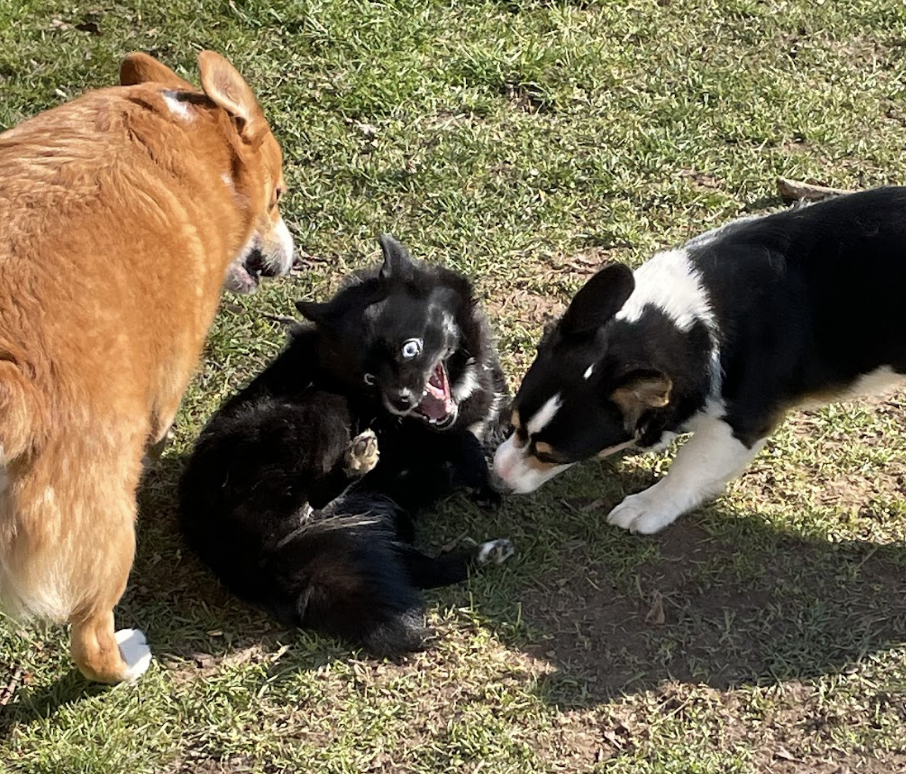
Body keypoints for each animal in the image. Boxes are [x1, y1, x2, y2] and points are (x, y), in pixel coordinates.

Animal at [177, 235, 512, 656]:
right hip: (318, 413)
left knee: (413, 568)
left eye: (410, 348)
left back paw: (485, 555)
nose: (400, 401)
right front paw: (478, 474)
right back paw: (356, 460)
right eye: (369, 377)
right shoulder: (405, 435)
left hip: (383, 517)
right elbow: (458, 439)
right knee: (312, 493)